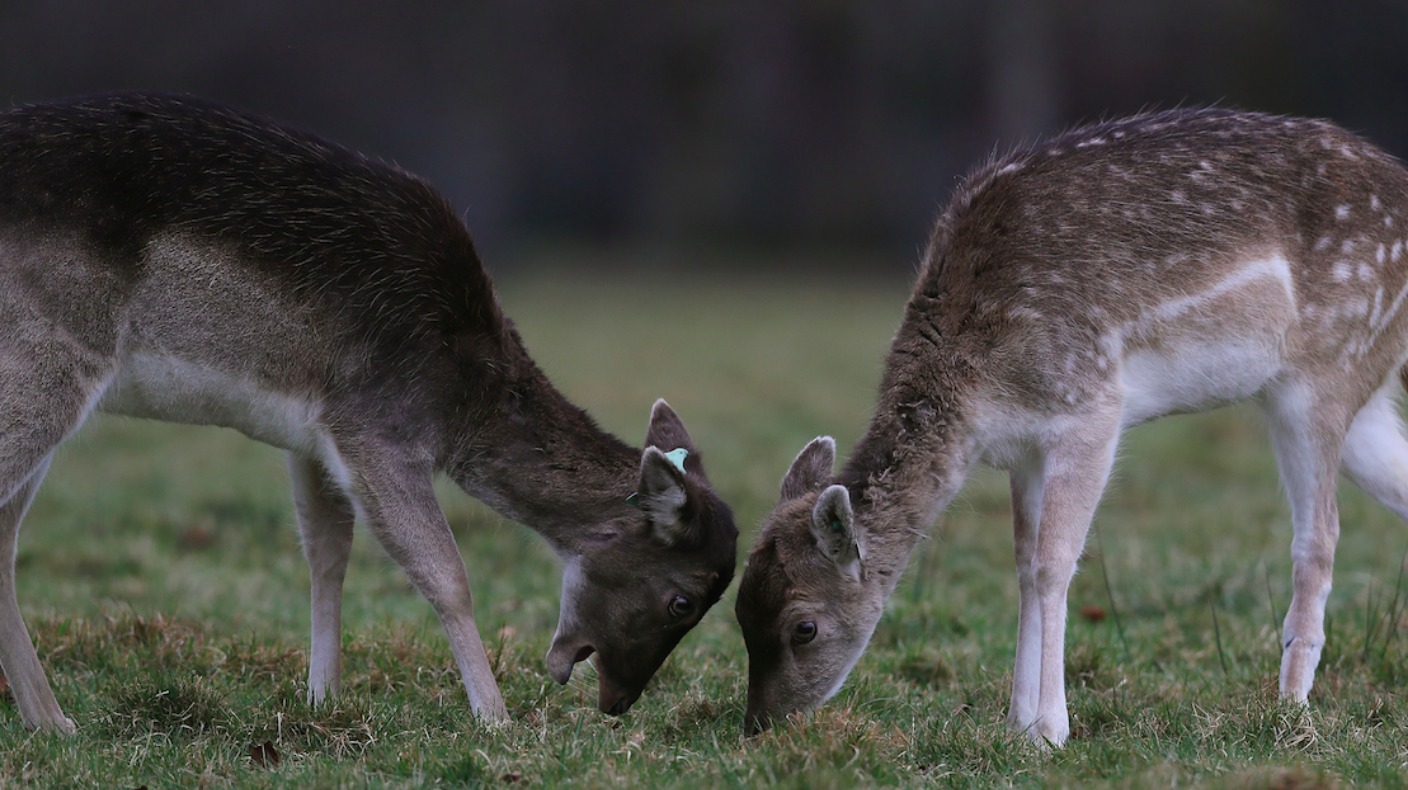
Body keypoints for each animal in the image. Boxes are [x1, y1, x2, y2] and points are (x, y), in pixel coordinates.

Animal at [0, 92, 738, 734]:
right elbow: (447, 574)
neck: (463, 393)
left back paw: (52, 721)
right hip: (44, 362)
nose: (618, 701)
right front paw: (497, 721)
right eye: (682, 599)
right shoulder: (379, 426)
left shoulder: (313, 434)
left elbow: (327, 553)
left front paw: (322, 699)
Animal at [735, 108, 1408, 747]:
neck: (978, 388)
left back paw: (1289, 708)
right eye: (739, 610)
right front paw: (1016, 724)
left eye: (804, 626)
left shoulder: (1089, 408)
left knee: (1319, 536)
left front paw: (1050, 730)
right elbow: (1023, 564)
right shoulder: (1023, 447)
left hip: (1321, 375)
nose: (759, 726)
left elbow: (1053, 563)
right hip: (1359, 398)